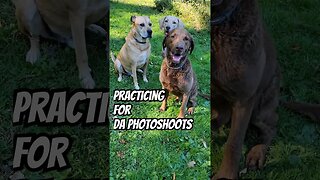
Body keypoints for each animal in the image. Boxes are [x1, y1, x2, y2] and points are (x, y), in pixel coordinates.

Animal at [212, 0, 280, 179]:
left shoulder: (244, 99)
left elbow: (233, 144)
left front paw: (225, 176)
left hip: (259, 110)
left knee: (272, 127)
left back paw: (257, 153)